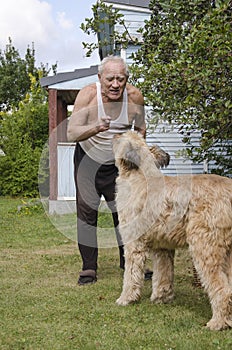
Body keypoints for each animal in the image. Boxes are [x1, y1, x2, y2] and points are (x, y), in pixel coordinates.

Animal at [112, 131, 232, 330]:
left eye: (121, 136)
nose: (113, 134)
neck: (140, 175)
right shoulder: (163, 247)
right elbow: (163, 274)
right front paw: (161, 297)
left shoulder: (133, 244)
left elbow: (131, 274)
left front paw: (126, 298)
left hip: (205, 247)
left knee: (222, 288)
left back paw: (218, 322)